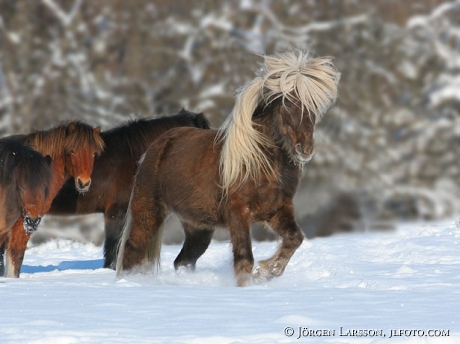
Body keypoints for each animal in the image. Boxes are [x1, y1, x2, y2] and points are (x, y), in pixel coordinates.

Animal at [117, 49, 340, 286]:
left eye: (314, 104)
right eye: (288, 103)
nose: (305, 149)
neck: (261, 161)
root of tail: (156, 146)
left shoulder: (279, 208)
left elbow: (294, 238)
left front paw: (267, 271)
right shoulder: (238, 212)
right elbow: (244, 260)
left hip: (199, 227)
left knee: (183, 261)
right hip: (148, 213)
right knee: (132, 252)